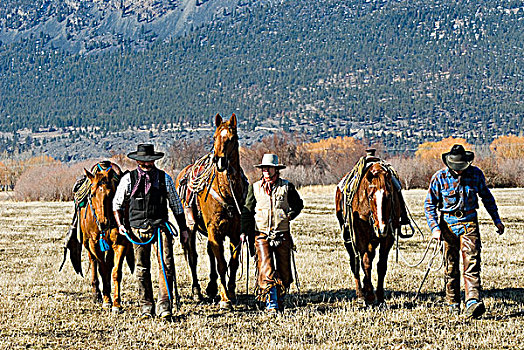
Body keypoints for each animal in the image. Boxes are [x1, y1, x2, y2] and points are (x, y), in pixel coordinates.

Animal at [79, 161, 135, 312]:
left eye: (110, 194)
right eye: (92, 194)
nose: (103, 223)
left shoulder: (121, 242)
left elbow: (116, 272)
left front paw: (116, 303)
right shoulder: (94, 244)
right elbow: (102, 269)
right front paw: (106, 300)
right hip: (87, 244)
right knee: (94, 262)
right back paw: (97, 294)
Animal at [175, 113, 247, 308]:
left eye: (232, 138)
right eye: (214, 137)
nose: (219, 160)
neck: (227, 191)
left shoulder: (234, 232)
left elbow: (233, 262)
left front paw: (231, 292)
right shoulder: (214, 229)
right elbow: (221, 263)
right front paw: (225, 298)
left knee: (209, 253)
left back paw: (211, 287)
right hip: (191, 228)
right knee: (193, 257)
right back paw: (197, 291)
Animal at [336, 161, 402, 304]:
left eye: (389, 195)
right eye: (371, 196)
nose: (381, 228)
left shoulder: (388, 237)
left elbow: (381, 265)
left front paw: (380, 296)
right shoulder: (360, 236)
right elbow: (365, 263)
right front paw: (370, 295)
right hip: (349, 239)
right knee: (355, 262)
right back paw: (361, 293)